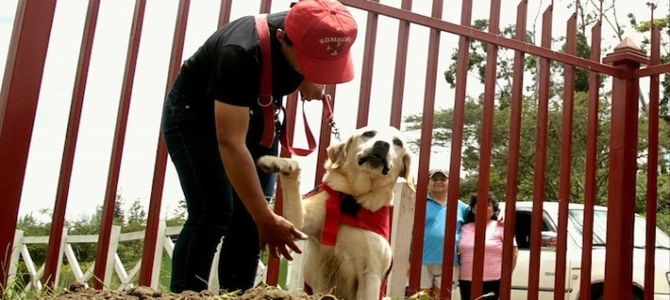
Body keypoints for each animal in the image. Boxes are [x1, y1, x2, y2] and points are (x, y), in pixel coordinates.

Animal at [258, 126, 412, 300]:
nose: (382, 144)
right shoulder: (298, 223)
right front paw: (281, 163)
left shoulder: (370, 275)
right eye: (369, 133)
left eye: (398, 143)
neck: (351, 202)